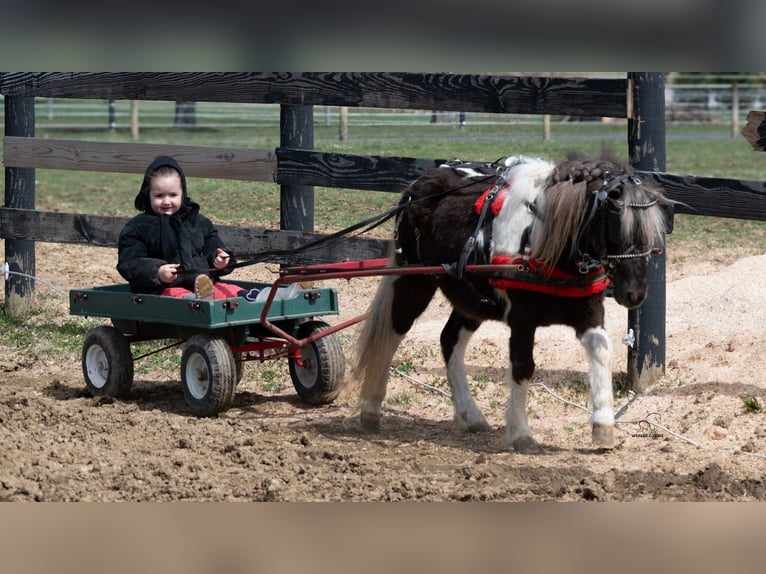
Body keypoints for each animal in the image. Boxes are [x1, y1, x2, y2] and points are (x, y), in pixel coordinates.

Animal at [347, 154, 669, 452]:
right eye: (615, 227)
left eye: (652, 234)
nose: (636, 294)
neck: (546, 243)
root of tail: (416, 188)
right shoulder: (522, 319)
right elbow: (523, 367)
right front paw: (521, 433)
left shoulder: (589, 313)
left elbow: (601, 350)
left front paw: (603, 426)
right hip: (414, 283)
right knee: (391, 334)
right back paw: (371, 409)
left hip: (471, 299)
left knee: (449, 339)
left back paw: (470, 414)